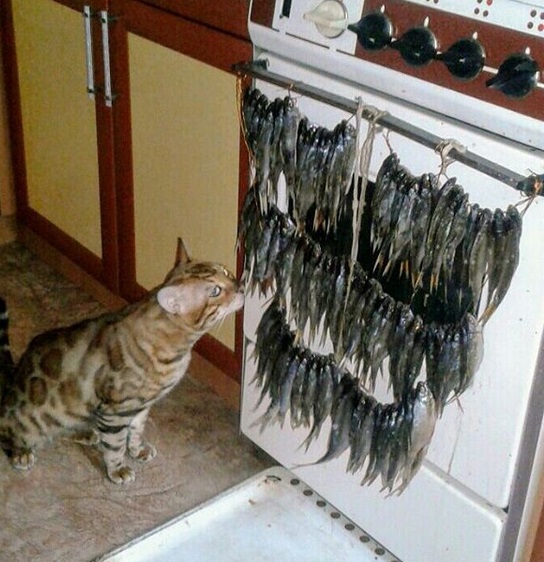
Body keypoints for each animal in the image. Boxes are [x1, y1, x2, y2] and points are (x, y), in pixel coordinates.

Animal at [0, 237, 244, 482]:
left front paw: (137, 450)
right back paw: (21, 452)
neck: (177, 349)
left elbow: (136, 431)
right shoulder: (115, 412)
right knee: (11, 431)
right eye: (215, 290)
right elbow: (115, 445)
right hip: (32, 420)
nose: (241, 288)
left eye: (226, 271)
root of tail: (11, 377)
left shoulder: (140, 406)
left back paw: (85, 433)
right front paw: (117, 469)